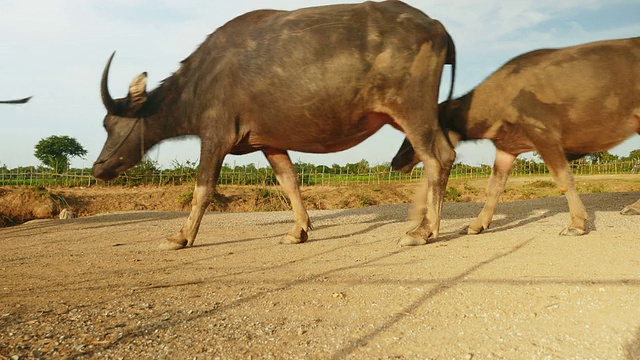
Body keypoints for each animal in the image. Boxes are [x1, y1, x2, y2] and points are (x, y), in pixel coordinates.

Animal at [92, 0, 458, 249]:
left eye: (114, 123)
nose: (98, 168)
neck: (200, 81)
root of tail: (436, 25)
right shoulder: (270, 143)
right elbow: (290, 183)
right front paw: (298, 230)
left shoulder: (215, 137)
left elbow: (203, 189)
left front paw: (181, 237)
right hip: (407, 116)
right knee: (439, 155)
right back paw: (422, 220)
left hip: (412, 110)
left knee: (437, 158)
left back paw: (423, 231)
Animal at [390, 36, 640, 236]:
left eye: (411, 135)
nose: (395, 161)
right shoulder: (507, 147)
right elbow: (493, 187)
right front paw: (476, 224)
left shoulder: (543, 134)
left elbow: (564, 179)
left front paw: (577, 223)